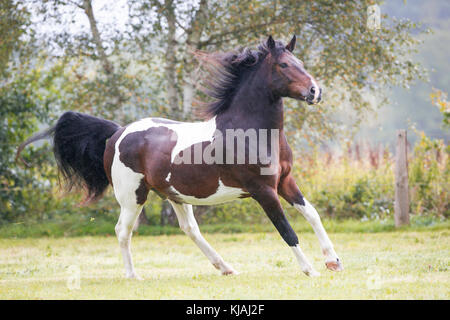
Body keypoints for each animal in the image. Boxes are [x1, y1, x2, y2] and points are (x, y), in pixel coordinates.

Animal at [15, 35, 342, 278]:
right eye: (285, 65)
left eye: (301, 62)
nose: (315, 92)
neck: (251, 131)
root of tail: (118, 133)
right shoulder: (263, 190)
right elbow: (287, 230)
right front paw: (310, 269)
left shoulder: (285, 181)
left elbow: (312, 214)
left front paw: (333, 261)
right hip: (133, 195)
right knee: (123, 230)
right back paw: (133, 276)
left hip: (174, 194)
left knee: (189, 229)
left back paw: (226, 268)